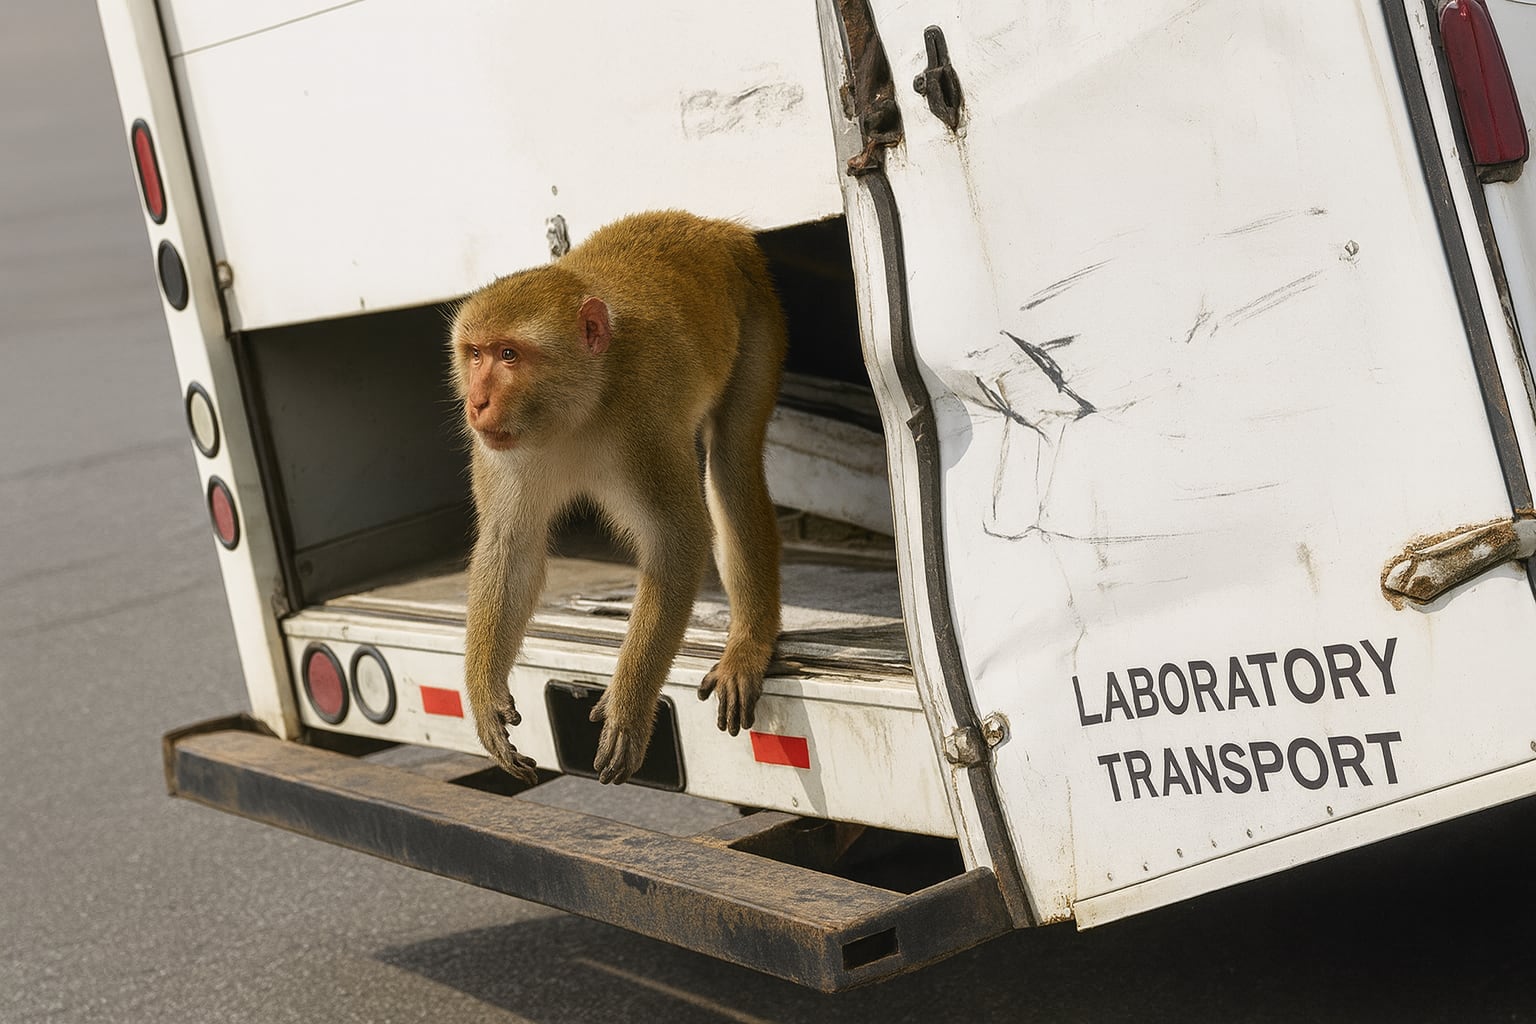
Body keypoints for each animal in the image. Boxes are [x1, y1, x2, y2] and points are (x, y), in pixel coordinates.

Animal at [449, 210, 786, 786]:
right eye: (475, 354)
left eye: (509, 355)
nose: (477, 402)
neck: (579, 404)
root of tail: (716, 227)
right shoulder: (496, 450)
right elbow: (511, 545)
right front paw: (485, 696)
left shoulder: (642, 420)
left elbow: (678, 539)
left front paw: (629, 705)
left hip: (757, 308)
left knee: (732, 460)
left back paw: (748, 643)